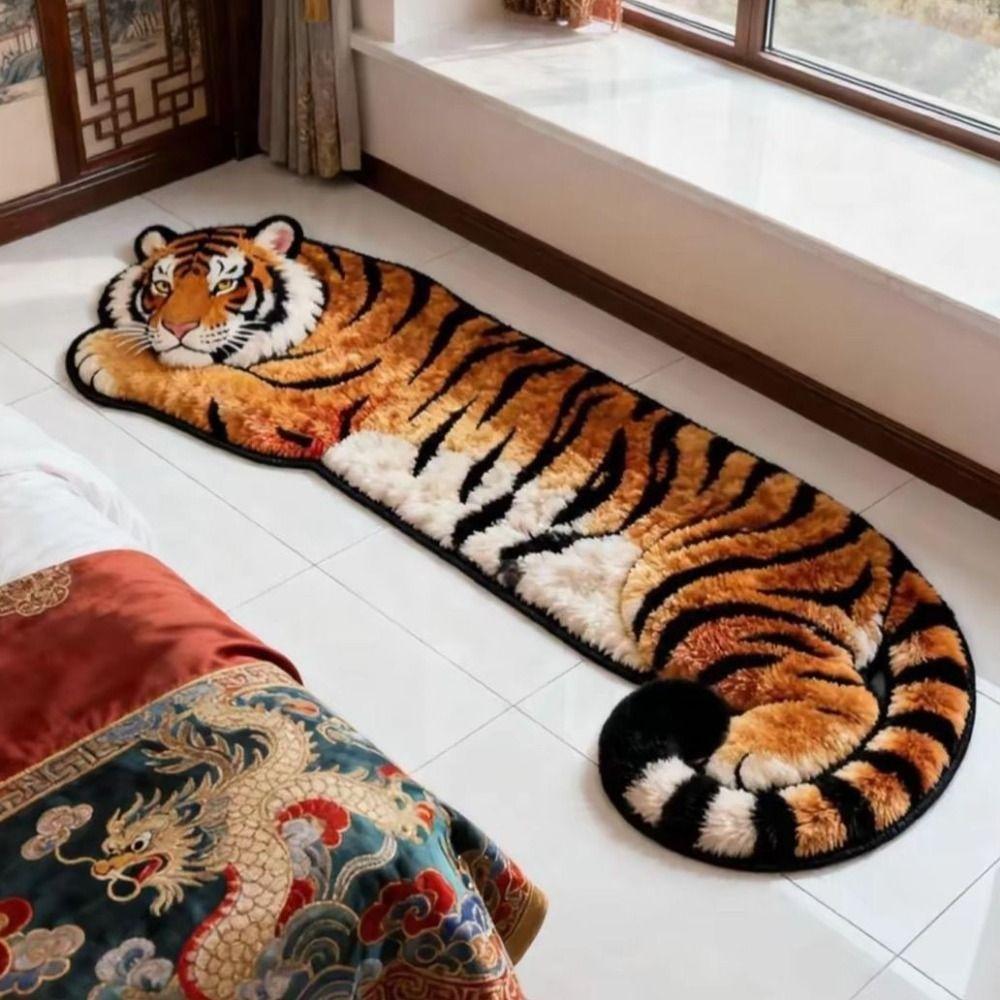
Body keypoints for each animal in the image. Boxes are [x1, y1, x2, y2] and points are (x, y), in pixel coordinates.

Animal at [68, 215, 975, 870]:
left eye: (226, 286)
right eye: (160, 287)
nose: (175, 327)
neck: (324, 287)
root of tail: (894, 558)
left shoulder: (291, 407)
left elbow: (197, 380)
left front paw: (102, 353)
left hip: (706, 589)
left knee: (843, 698)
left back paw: (747, 751)